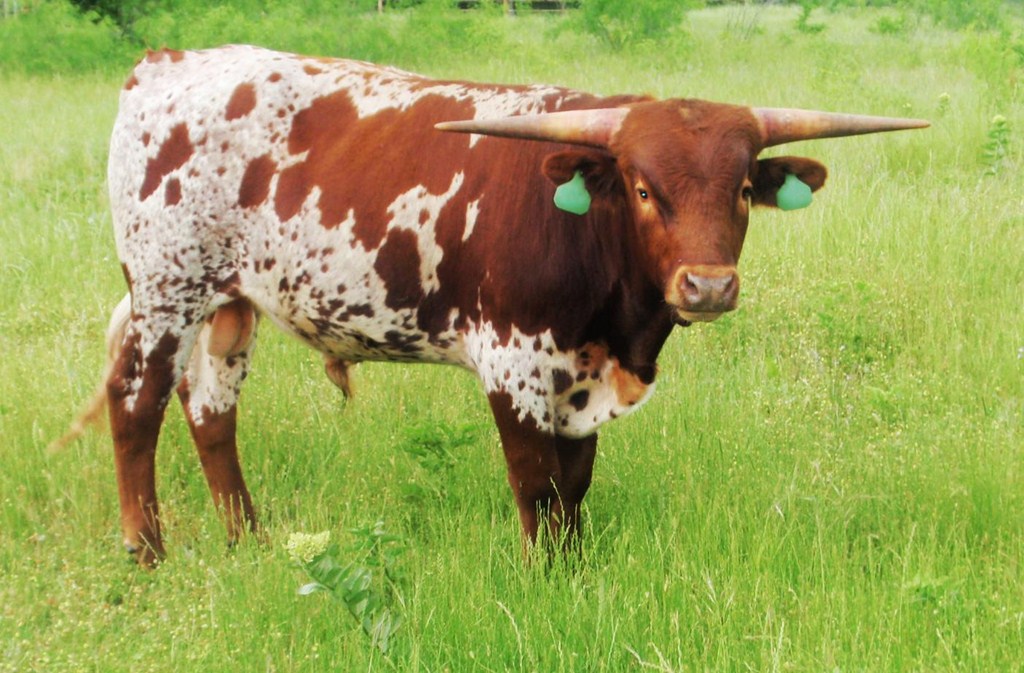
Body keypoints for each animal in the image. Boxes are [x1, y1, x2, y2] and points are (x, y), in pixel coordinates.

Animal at [55, 45, 927, 566]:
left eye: (744, 188)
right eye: (644, 189)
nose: (707, 286)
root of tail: (170, 60)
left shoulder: (581, 372)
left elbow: (575, 483)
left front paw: (576, 568)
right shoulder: (514, 359)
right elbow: (534, 480)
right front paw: (544, 576)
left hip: (230, 304)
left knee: (211, 411)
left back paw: (249, 538)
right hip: (166, 287)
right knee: (136, 403)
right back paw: (147, 550)